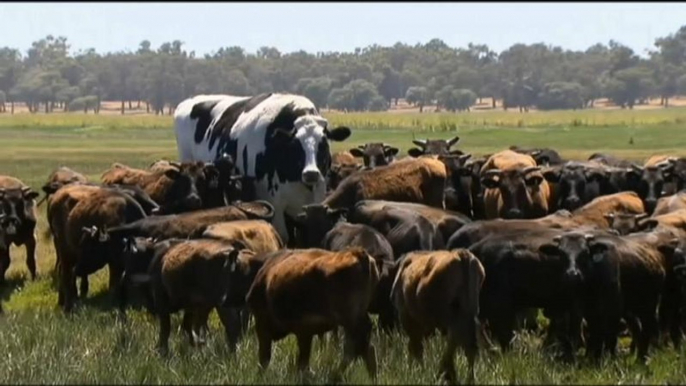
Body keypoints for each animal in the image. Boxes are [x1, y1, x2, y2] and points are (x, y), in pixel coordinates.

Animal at [175, 92, 352, 244]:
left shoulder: (316, 199)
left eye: (323, 144)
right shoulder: (274, 204)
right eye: (295, 144)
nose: (311, 173)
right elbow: (284, 237)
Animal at [246, 249, 378, 378]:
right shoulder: (305, 332)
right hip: (352, 322)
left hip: (350, 321)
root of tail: (358, 253)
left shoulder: (265, 326)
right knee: (360, 348)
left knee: (357, 348)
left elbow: (266, 357)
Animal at [390, 249, 486, 384]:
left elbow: (416, 348)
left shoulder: (407, 317)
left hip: (453, 315)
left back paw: (446, 372)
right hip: (467, 312)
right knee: (468, 345)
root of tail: (461, 254)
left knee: (455, 340)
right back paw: (463, 377)